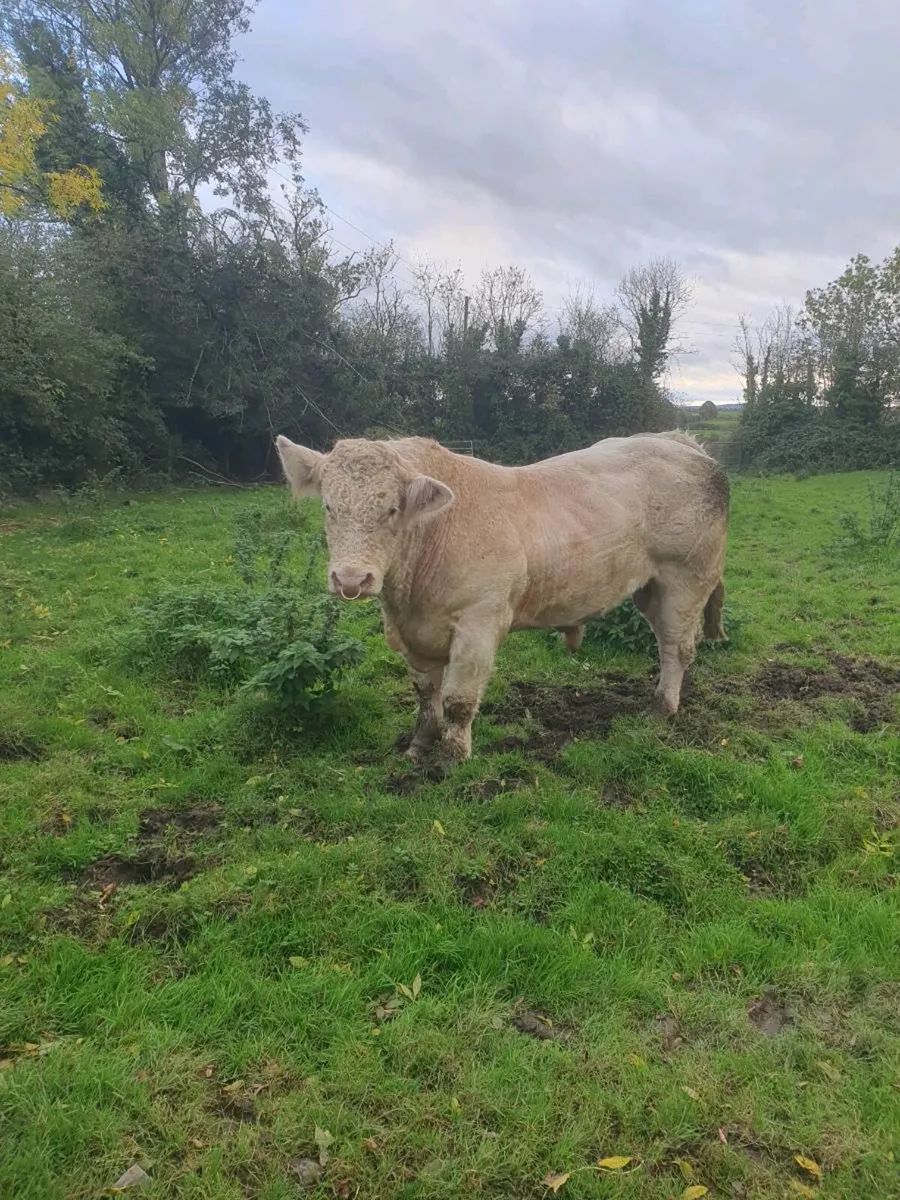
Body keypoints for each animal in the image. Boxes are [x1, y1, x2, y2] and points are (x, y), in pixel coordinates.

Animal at [275, 431, 729, 771]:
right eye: (329, 507)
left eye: (391, 509)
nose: (352, 578)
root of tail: (679, 442)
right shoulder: (413, 634)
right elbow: (426, 694)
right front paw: (419, 745)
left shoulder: (478, 623)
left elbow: (459, 700)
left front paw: (452, 759)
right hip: (650, 588)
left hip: (686, 578)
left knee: (677, 647)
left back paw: (661, 709)